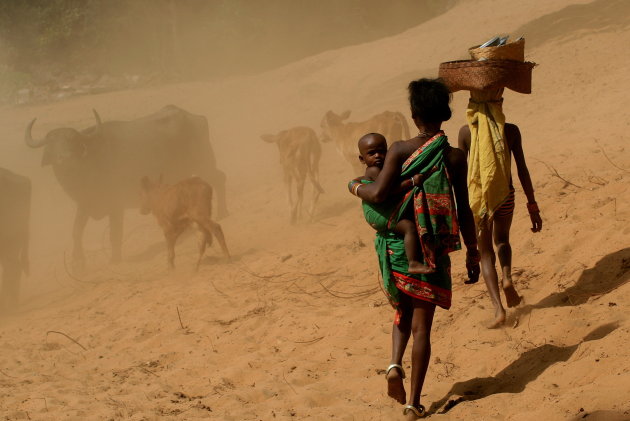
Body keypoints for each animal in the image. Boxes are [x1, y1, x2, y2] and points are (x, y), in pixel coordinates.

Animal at [24, 105, 227, 270]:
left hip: (203, 160)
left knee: (219, 178)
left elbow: (115, 232)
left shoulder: (115, 205)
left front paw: (115, 259)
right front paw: (77, 263)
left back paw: (222, 212)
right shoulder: (84, 203)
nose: (65, 159)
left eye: (72, 141)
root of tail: (194, 117)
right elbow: (76, 231)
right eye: (52, 144)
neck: (89, 167)